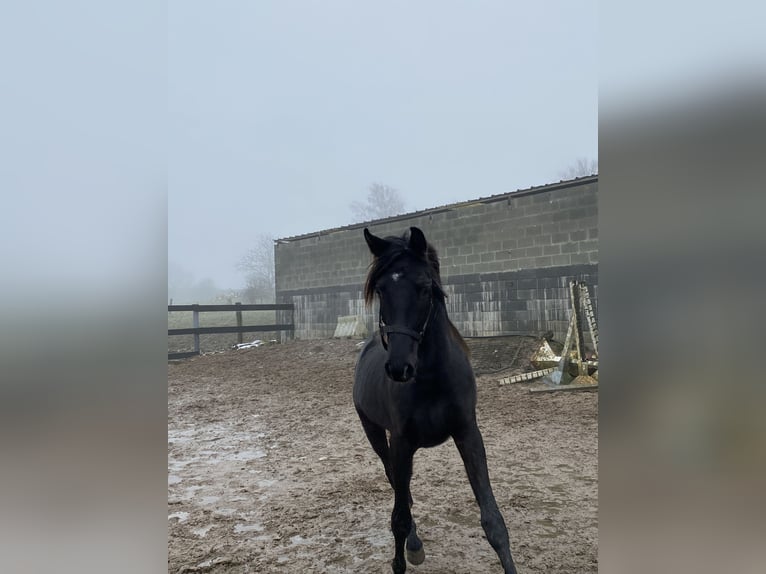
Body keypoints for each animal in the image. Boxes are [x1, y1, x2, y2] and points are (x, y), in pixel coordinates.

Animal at [356, 228, 520, 574]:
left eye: (424, 287)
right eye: (381, 289)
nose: (399, 368)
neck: (431, 378)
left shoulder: (468, 433)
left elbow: (493, 521)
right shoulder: (401, 443)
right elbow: (399, 519)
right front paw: (404, 556)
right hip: (376, 435)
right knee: (397, 486)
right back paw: (415, 545)